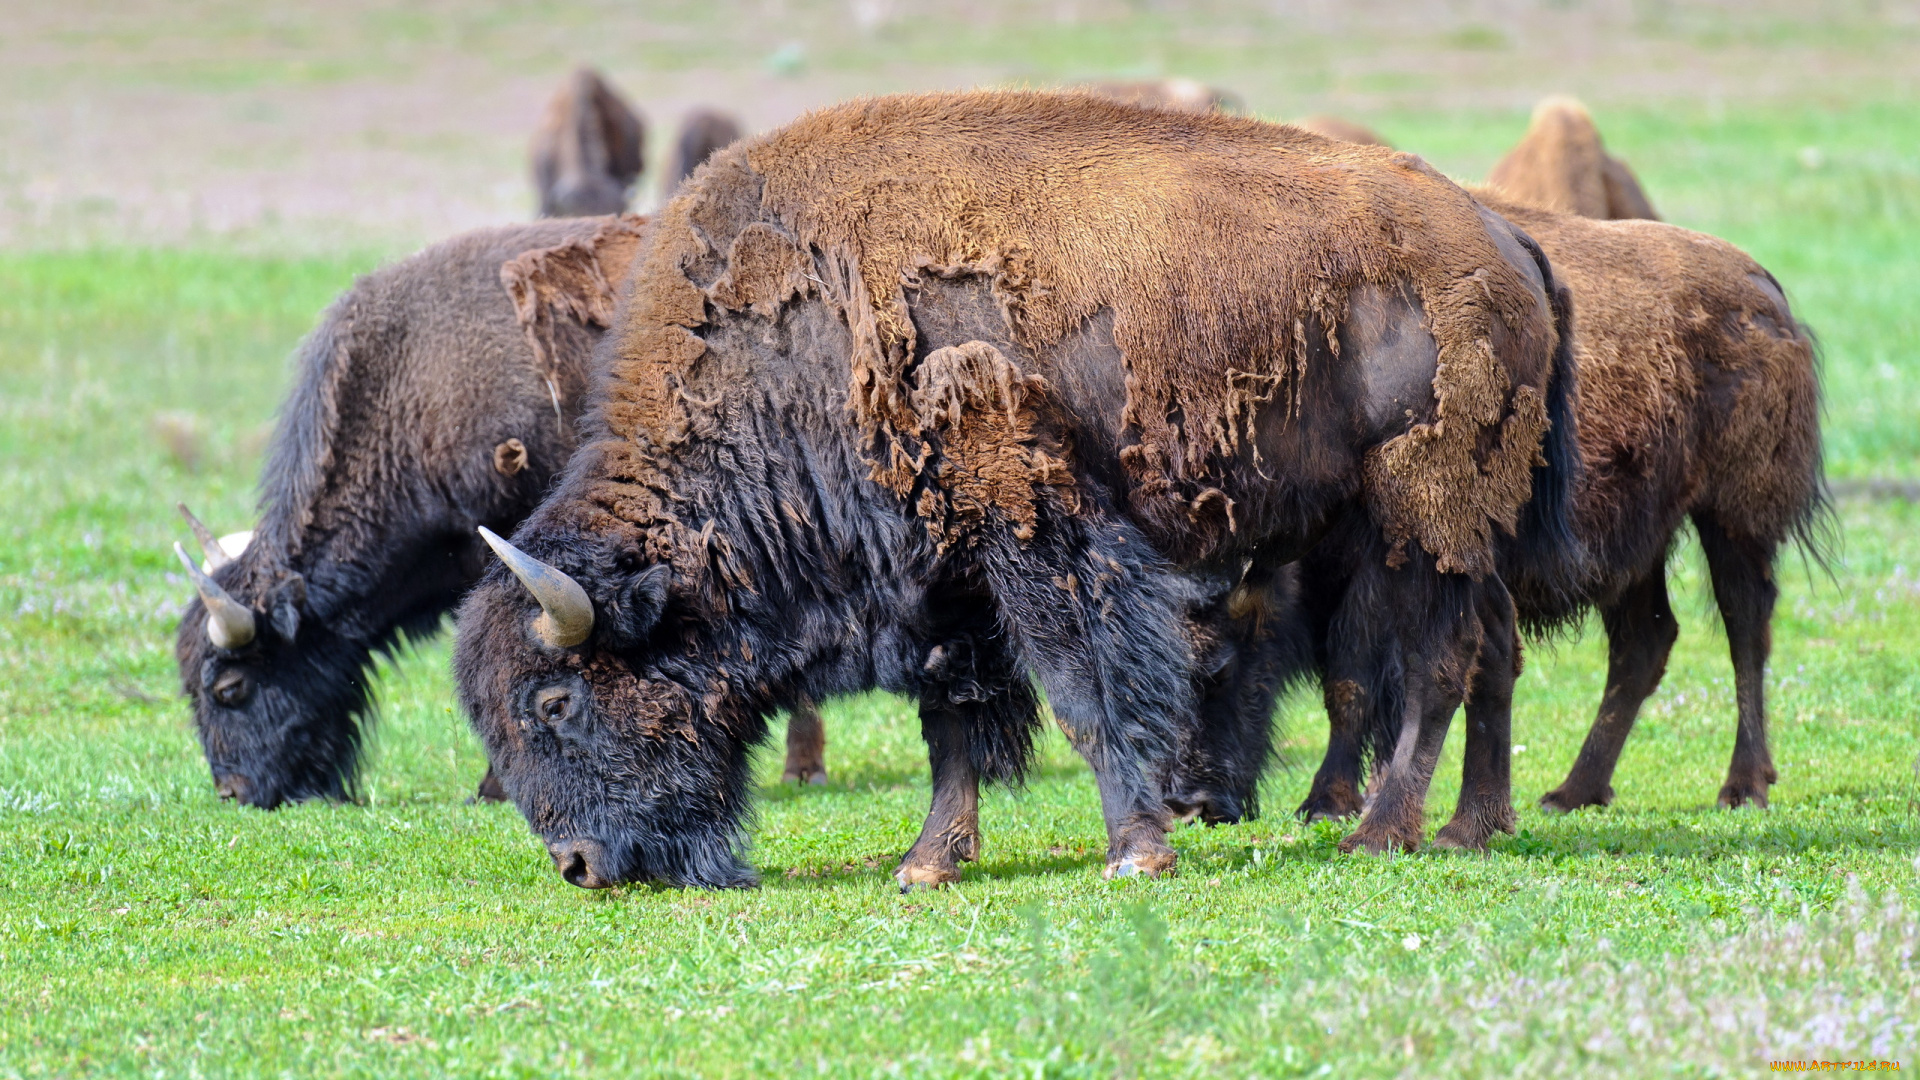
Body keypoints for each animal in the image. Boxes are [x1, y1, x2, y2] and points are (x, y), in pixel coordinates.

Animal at [454, 91, 1578, 889]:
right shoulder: (944, 578)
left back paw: (1383, 836)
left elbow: (1081, 692)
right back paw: (1466, 828)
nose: (581, 866)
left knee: (1435, 665)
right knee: (1478, 657)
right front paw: (926, 865)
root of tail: (1502, 241)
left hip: (1418, 512)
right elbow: (955, 722)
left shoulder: (1031, 540)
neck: (789, 351)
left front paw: (1136, 852)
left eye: (553, 700)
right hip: (1436, 525)